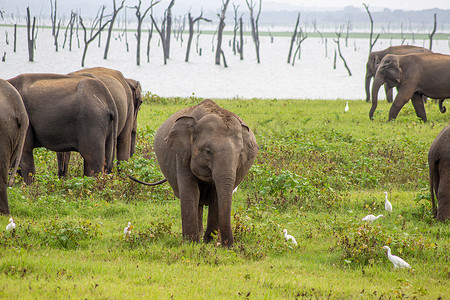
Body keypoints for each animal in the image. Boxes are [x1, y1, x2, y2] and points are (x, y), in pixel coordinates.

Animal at [128, 99, 258, 247]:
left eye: (240, 153)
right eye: (207, 151)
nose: (228, 245)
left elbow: (216, 196)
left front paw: (208, 242)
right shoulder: (182, 154)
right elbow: (191, 191)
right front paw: (192, 243)